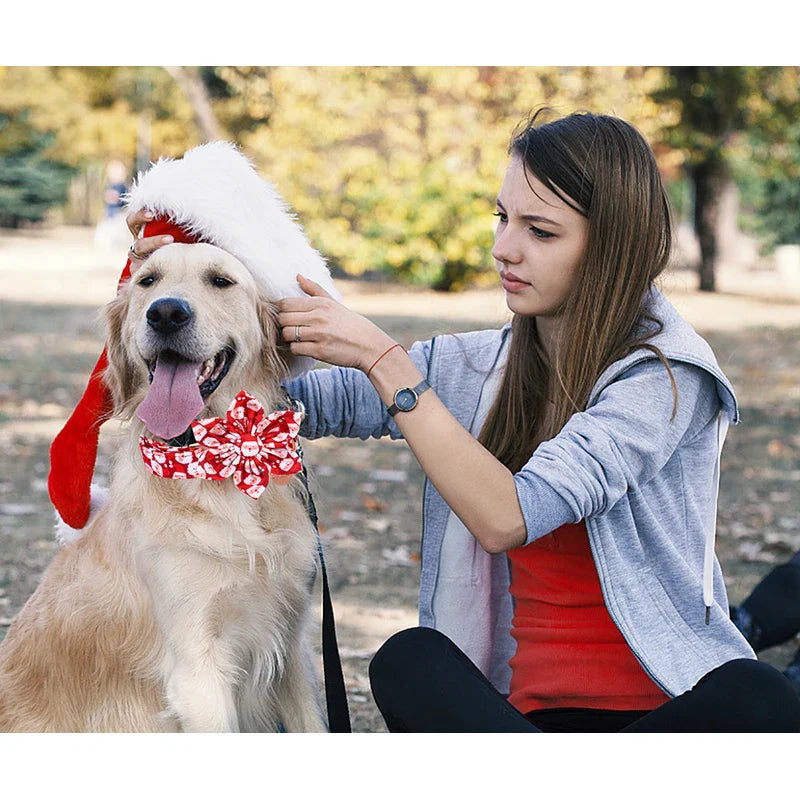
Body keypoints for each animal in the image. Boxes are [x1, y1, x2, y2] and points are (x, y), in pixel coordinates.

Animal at [0, 242, 328, 732]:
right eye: (147, 281)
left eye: (221, 281)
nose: (167, 313)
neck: (214, 462)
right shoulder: (197, 667)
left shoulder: (291, 644)